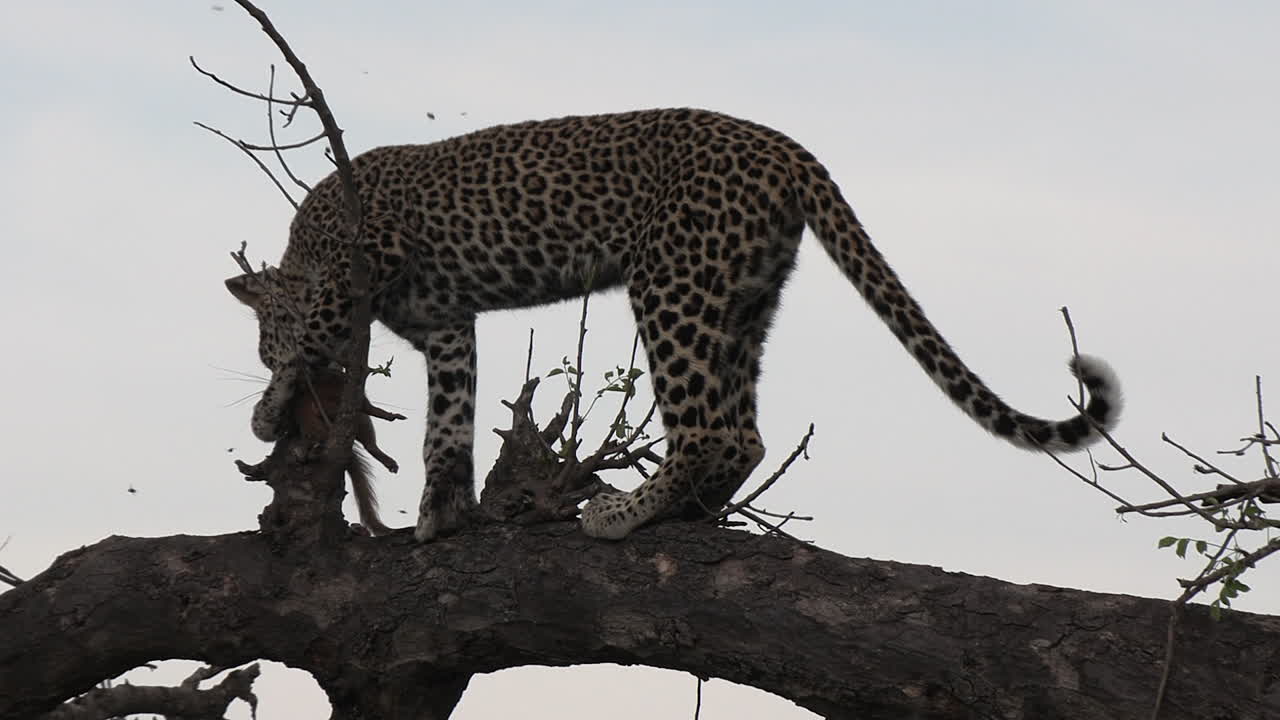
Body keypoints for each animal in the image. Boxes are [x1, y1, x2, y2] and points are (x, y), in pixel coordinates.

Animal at [225, 108, 1122, 542]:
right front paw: (443, 513)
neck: (304, 244)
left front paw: (269, 405)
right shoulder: (447, 324)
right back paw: (688, 510)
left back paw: (625, 513)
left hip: (671, 282)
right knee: (745, 432)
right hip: (742, 298)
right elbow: (448, 419)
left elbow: (320, 330)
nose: (261, 359)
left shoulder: (366, 256)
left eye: (260, 341)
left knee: (708, 429)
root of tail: (785, 147)